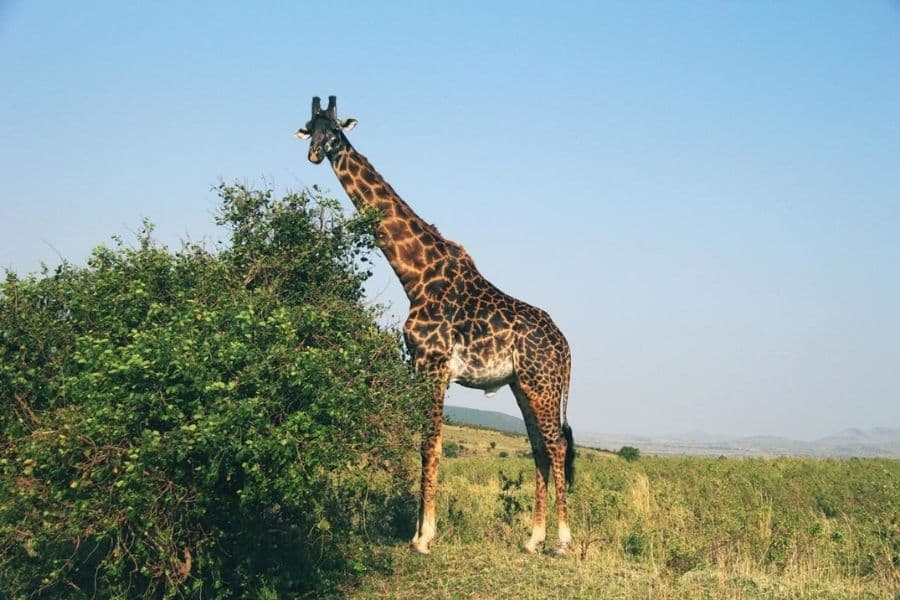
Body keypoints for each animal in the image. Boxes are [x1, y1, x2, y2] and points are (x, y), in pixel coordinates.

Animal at [295, 96, 574, 555]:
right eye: (309, 127)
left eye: (334, 130)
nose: (316, 154)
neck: (417, 275)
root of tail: (566, 347)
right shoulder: (418, 366)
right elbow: (423, 445)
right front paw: (419, 531)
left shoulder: (434, 364)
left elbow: (432, 446)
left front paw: (424, 537)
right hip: (523, 385)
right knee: (538, 447)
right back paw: (533, 539)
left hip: (542, 383)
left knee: (557, 445)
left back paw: (563, 540)